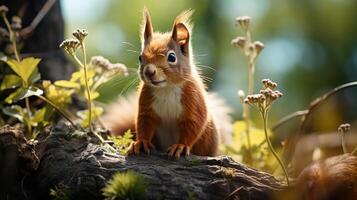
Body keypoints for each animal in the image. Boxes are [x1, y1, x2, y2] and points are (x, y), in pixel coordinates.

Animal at [103, 8, 231, 158]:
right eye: (140, 57)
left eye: (172, 57)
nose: (149, 71)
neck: (167, 88)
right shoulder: (147, 104)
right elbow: (144, 123)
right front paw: (141, 142)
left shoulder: (193, 99)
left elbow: (194, 124)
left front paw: (180, 146)